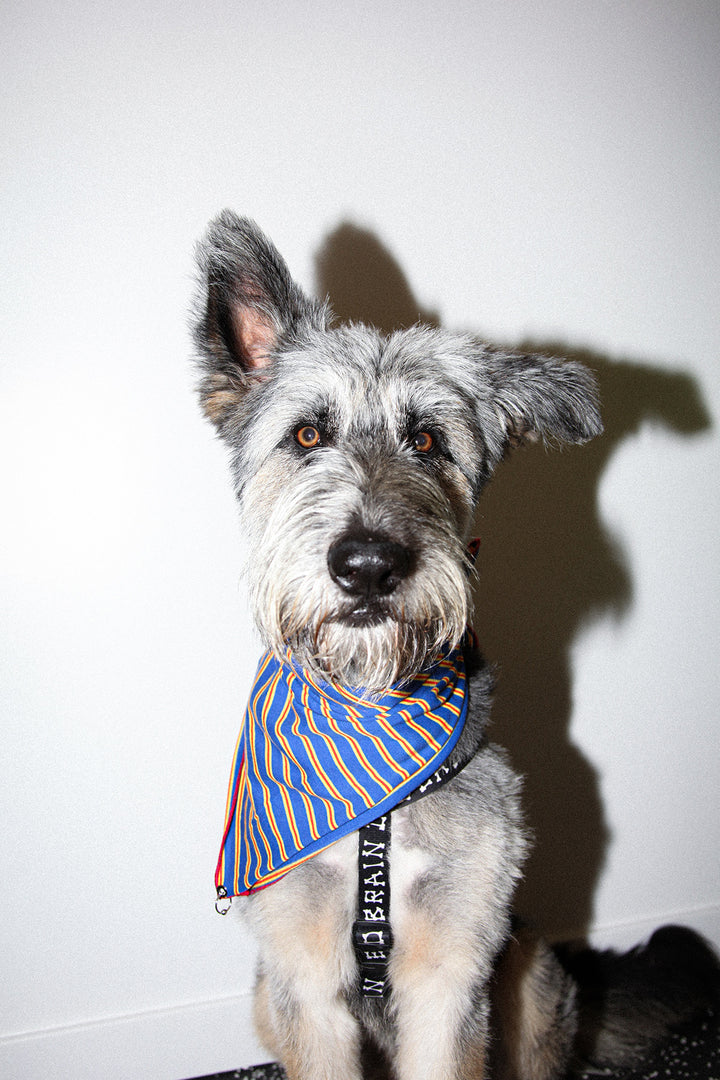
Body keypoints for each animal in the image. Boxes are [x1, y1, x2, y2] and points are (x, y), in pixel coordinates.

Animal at [193, 212, 720, 1080]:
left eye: (430, 441)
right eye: (306, 433)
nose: (369, 566)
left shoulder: (452, 975)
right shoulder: (305, 984)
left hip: (532, 979)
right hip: (266, 998)